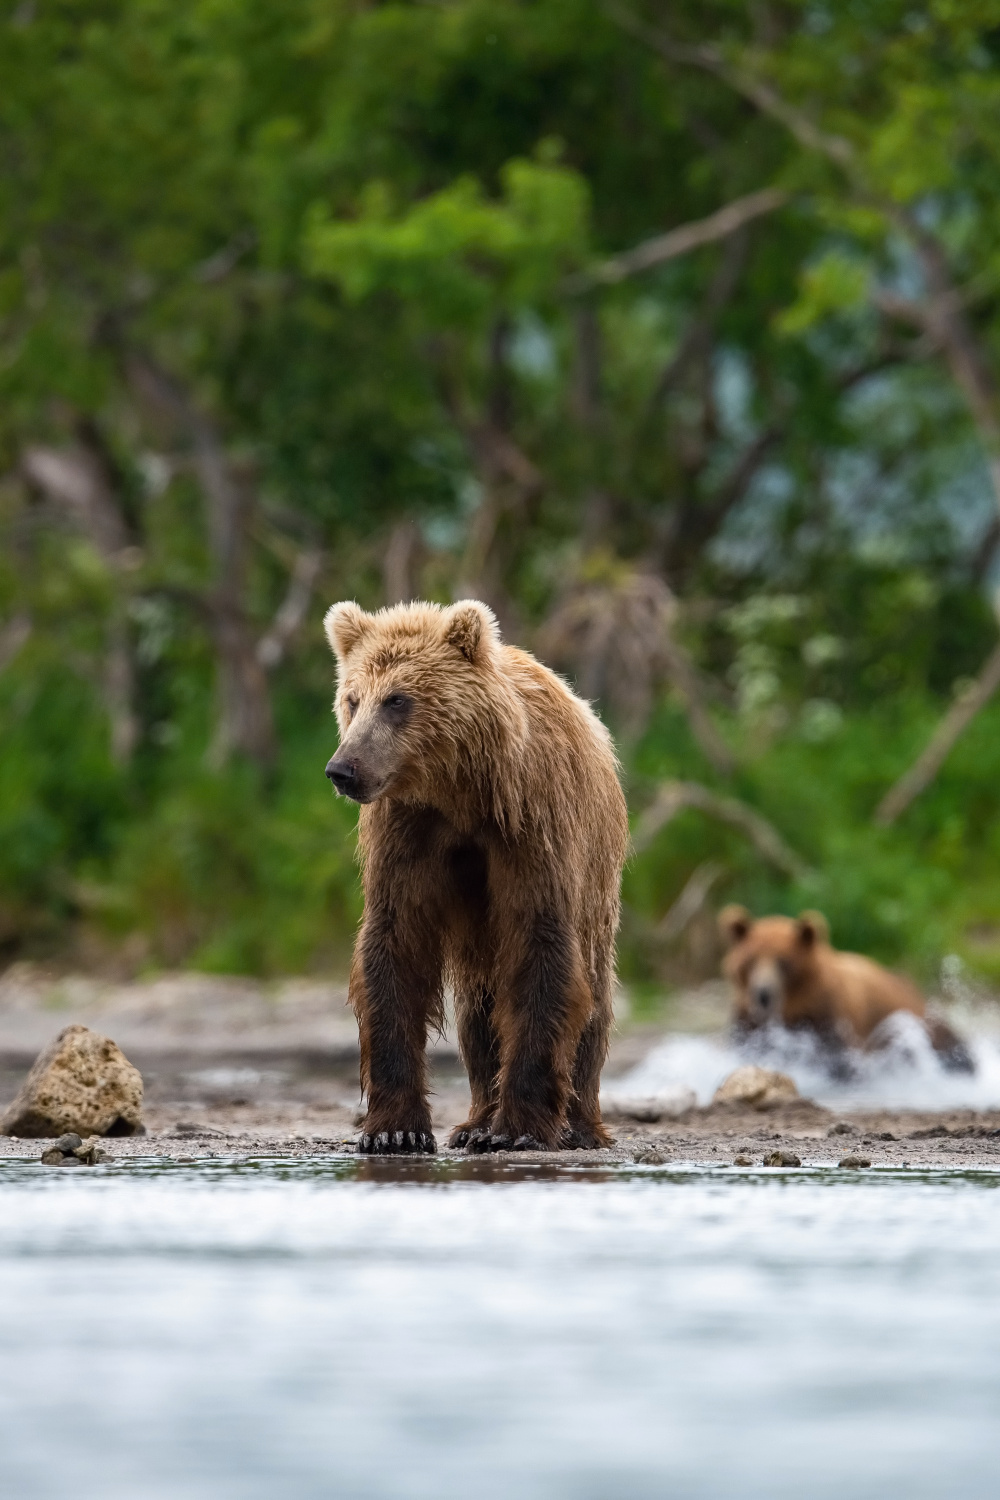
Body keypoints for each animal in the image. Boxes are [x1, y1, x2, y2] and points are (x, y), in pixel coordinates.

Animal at [325, 600, 629, 1158]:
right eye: (353, 699)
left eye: (397, 699)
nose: (344, 769)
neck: (459, 791)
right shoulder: (408, 833)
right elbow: (395, 947)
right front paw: (396, 1129)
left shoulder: (531, 826)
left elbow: (541, 949)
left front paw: (519, 1128)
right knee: (478, 1014)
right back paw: (475, 1121)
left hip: (597, 877)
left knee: (592, 994)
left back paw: (576, 1124)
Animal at [716, 906, 971, 1074]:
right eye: (750, 961)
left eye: (783, 962)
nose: (763, 994)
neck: (793, 1009)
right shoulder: (748, 1021)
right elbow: (749, 1049)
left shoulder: (828, 1016)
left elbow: (838, 1059)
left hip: (914, 1020)